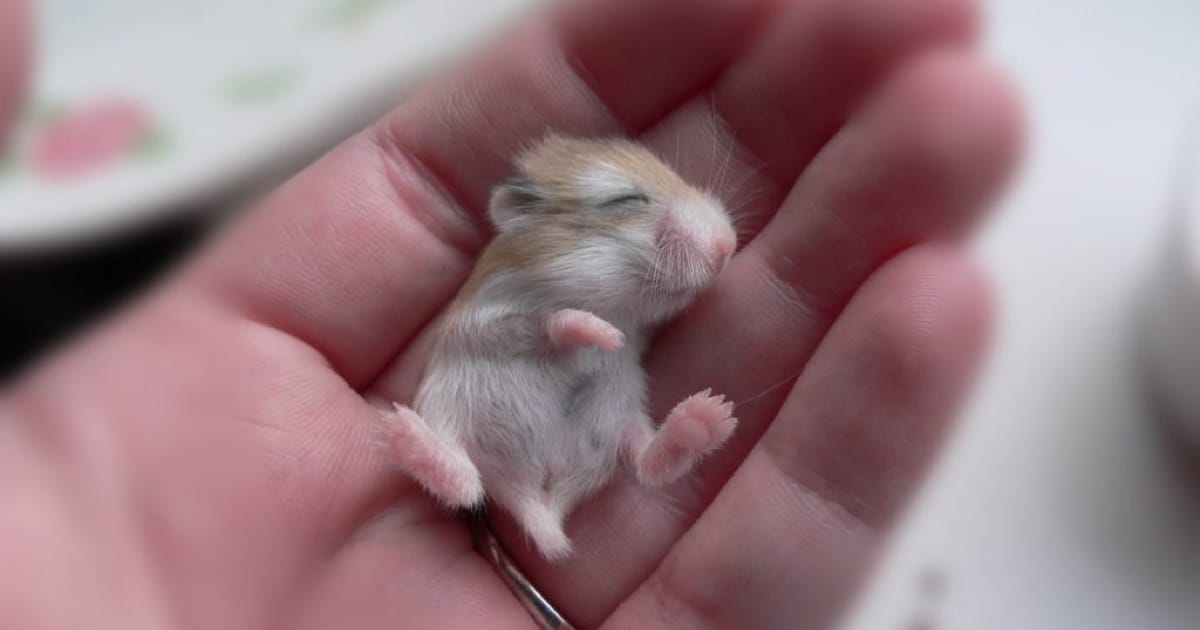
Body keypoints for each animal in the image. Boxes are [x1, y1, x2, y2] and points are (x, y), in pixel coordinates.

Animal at [382, 133, 739, 561]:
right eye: (626, 200)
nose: (728, 246)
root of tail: (542, 502)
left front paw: (611, 340)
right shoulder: (490, 321)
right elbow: (554, 322)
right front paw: (606, 335)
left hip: (620, 418)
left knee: (646, 464)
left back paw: (709, 415)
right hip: (443, 409)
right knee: (465, 482)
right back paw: (401, 430)